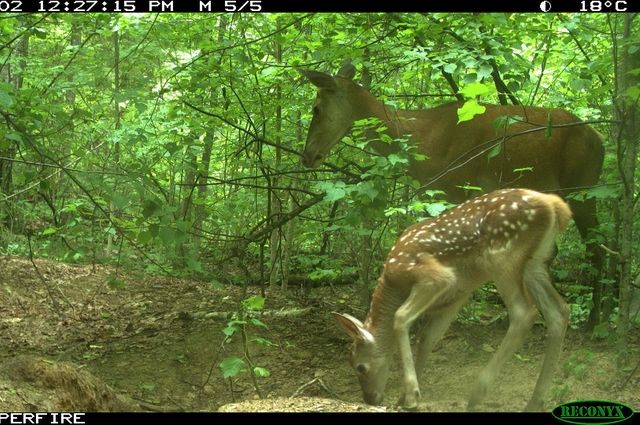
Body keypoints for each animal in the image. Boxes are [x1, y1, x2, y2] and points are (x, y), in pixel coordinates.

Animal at [300, 62, 604, 314]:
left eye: (316, 108)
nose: (307, 155)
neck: (421, 141)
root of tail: (599, 139)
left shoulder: (456, 187)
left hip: (583, 186)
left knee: (597, 247)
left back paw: (593, 319)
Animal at [336, 187, 568, 410]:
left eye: (360, 367)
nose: (370, 399)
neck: (394, 283)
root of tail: (553, 204)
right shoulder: (455, 298)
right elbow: (428, 337)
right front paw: (404, 397)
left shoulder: (434, 276)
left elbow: (401, 317)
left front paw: (411, 397)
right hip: (535, 264)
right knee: (560, 311)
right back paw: (535, 401)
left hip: (503, 257)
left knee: (524, 312)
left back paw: (478, 393)